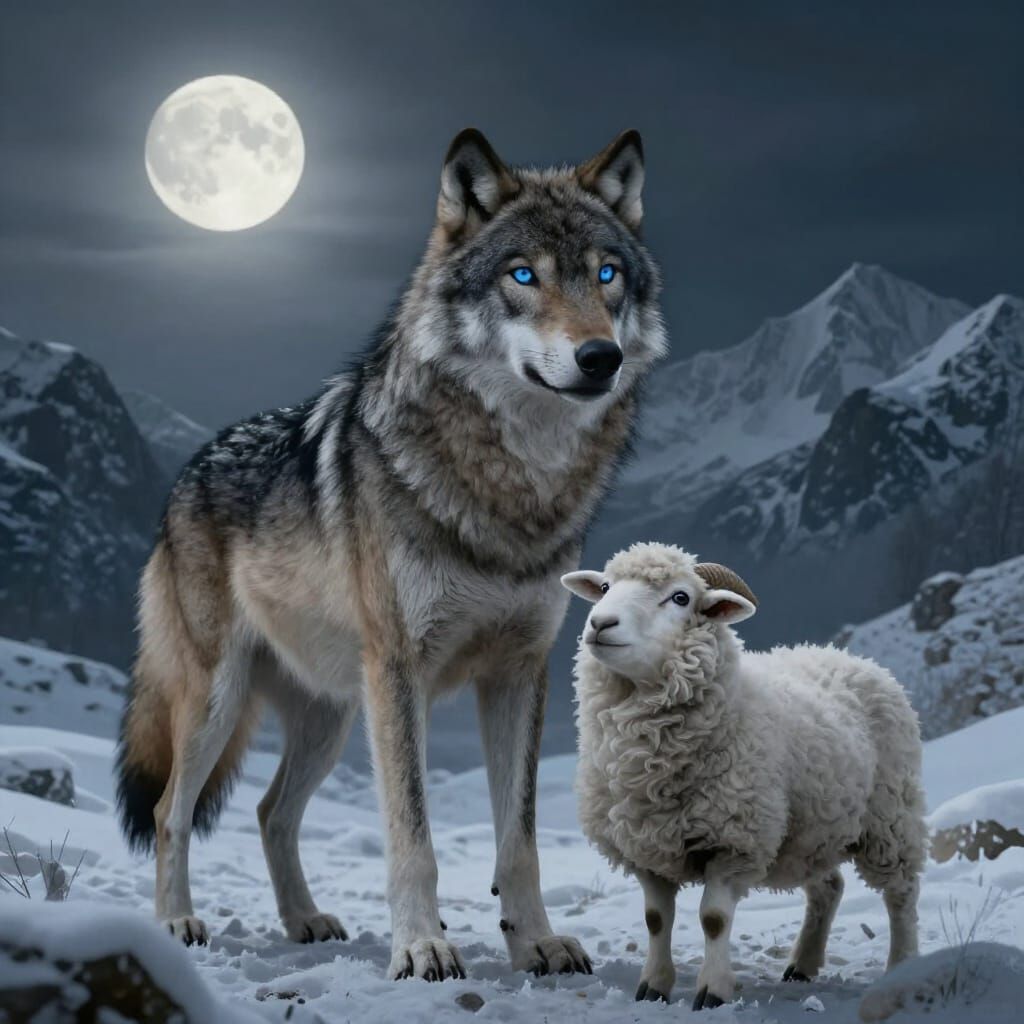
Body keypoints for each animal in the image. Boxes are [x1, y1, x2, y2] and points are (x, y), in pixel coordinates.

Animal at [116, 127, 666, 980]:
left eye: (606, 274)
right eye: (522, 276)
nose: (600, 357)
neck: (510, 492)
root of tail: (191, 466)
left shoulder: (518, 672)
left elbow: (520, 840)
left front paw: (535, 941)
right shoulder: (401, 670)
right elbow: (413, 834)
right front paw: (421, 945)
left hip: (333, 715)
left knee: (272, 811)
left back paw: (304, 920)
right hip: (222, 698)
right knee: (174, 807)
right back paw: (176, 922)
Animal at [562, 542, 927, 1010]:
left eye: (680, 597)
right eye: (605, 587)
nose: (600, 623)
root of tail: (847, 656)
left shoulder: (733, 840)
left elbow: (714, 919)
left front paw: (713, 991)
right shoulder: (646, 848)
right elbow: (656, 920)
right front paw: (653, 986)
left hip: (889, 816)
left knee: (902, 894)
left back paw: (901, 966)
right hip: (814, 827)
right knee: (829, 887)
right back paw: (803, 964)